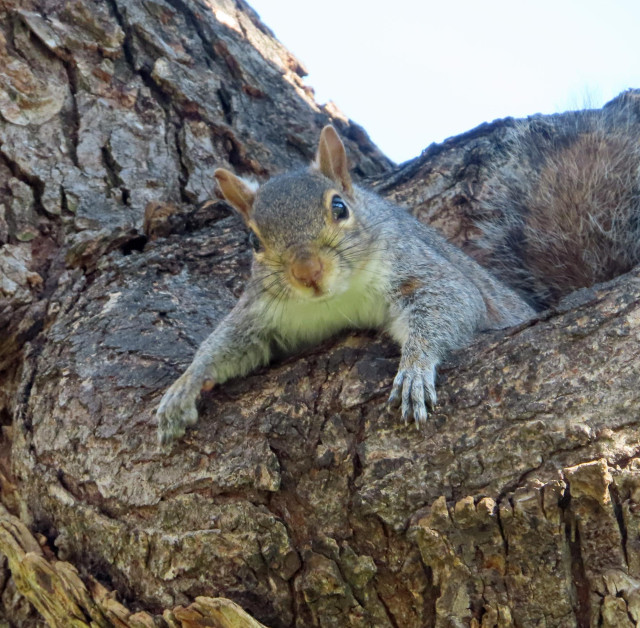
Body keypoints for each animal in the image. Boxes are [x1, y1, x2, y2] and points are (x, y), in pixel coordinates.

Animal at [156, 125, 536, 444]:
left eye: (339, 207)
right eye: (253, 241)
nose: (307, 272)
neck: (337, 299)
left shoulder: (417, 266)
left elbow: (453, 300)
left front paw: (415, 370)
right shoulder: (261, 310)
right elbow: (226, 343)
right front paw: (184, 385)